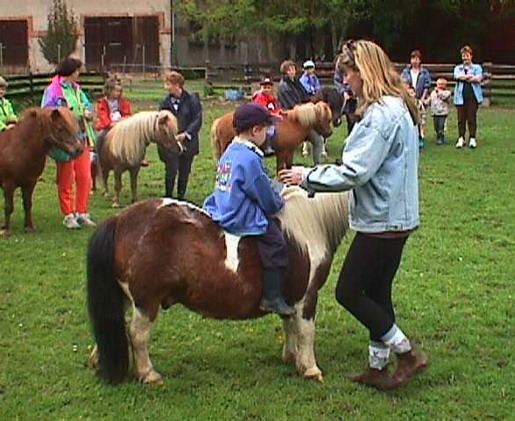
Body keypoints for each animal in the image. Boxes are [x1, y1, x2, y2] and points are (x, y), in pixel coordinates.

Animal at [0, 106, 82, 235]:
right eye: (60, 128)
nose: (79, 150)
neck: (20, 148)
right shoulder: (8, 184)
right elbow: (9, 207)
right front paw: (5, 230)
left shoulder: (30, 183)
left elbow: (27, 205)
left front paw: (29, 227)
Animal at [86, 185, 348, 384]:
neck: (308, 224)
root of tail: (119, 220)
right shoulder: (307, 297)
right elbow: (306, 331)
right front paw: (310, 368)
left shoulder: (291, 299)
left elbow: (290, 326)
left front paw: (291, 358)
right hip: (146, 301)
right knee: (137, 335)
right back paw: (149, 374)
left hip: (123, 297)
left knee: (113, 325)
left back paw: (100, 361)